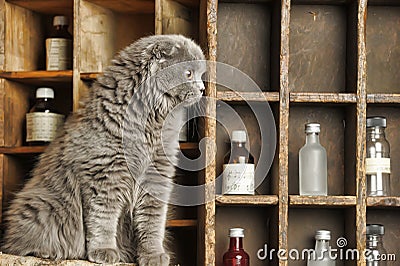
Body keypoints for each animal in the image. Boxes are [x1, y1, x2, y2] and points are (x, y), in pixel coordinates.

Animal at [0, 34, 206, 264]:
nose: (202, 89)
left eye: (200, 75)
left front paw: (153, 255)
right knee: (20, 245)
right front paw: (104, 252)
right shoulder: (105, 176)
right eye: (188, 73)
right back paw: (48, 253)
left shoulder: (157, 176)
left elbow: (153, 223)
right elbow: (103, 220)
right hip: (44, 206)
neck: (151, 123)